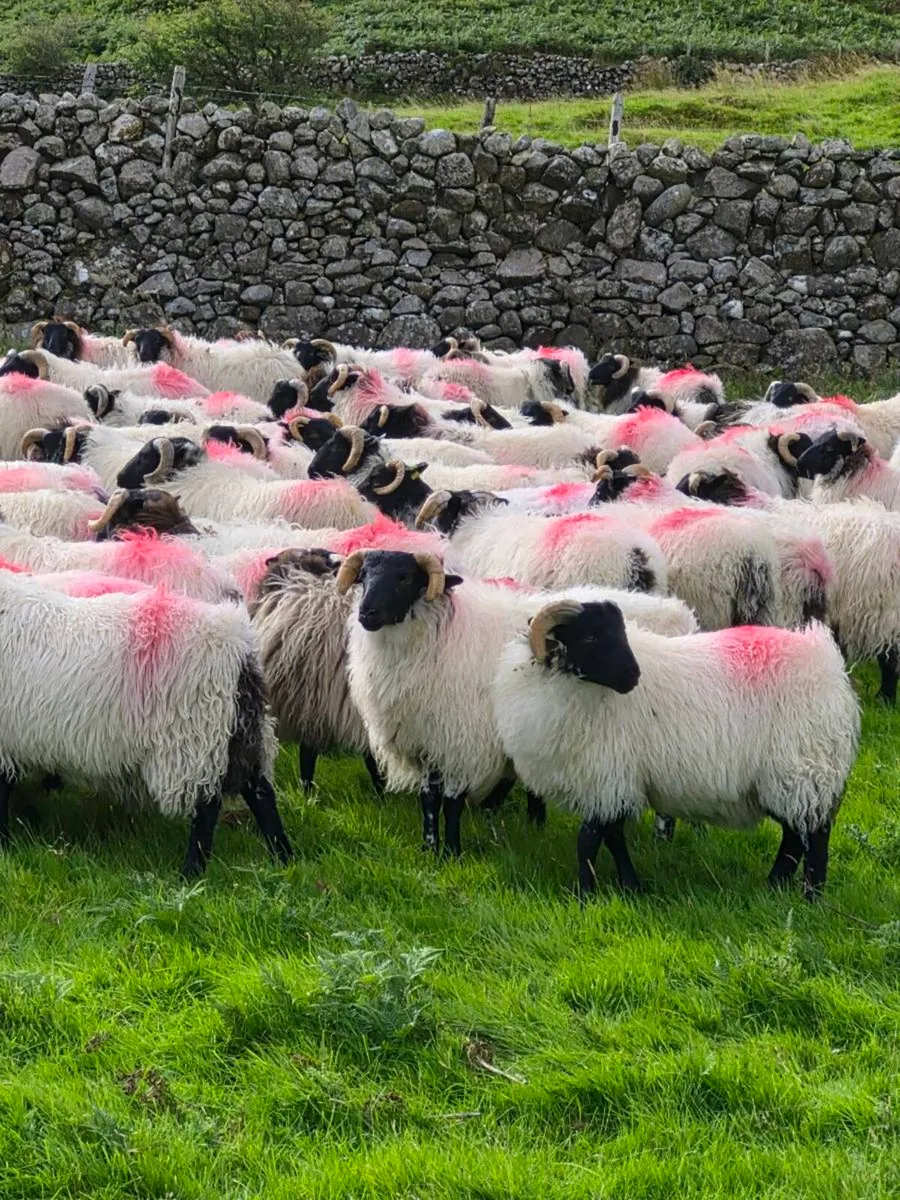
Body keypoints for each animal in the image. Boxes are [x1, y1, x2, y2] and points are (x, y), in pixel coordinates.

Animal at [0, 570, 292, 875]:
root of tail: (235, 640)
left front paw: (4, 844)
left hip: (194, 734)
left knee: (206, 806)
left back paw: (191, 872)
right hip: (241, 731)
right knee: (260, 792)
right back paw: (283, 857)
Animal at [493, 599, 859, 896]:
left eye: (620, 633)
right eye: (591, 638)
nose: (633, 677)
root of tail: (827, 666)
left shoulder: (606, 777)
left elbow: (587, 842)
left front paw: (585, 895)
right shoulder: (616, 782)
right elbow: (613, 838)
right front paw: (631, 886)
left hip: (804, 770)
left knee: (815, 835)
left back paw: (811, 897)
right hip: (789, 778)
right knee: (795, 836)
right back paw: (774, 887)